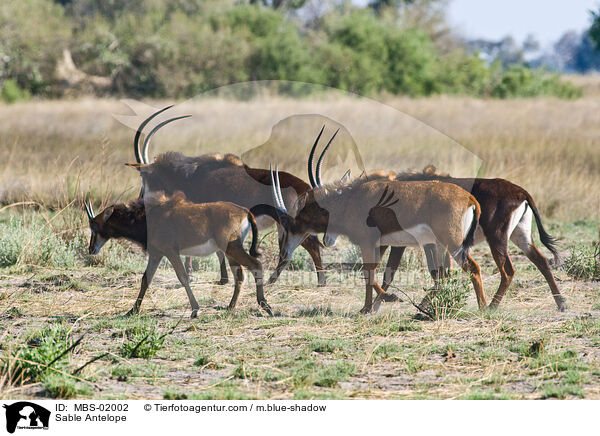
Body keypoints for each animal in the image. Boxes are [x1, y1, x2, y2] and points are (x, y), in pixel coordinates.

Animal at [84, 192, 272, 318]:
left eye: (94, 226)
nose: (91, 249)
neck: (146, 217)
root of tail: (245, 212)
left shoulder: (170, 252)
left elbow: (183, 277)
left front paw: (195, 310)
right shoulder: (156, 254)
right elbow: (146, 279)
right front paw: (132, 310)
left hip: (232, 248)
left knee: (256, 265)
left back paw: (265, 306)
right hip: (230, 251)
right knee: (240, 274)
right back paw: (231, 307)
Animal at [128, 105, 326, 286]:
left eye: (143, 177)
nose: (140, 198)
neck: (189, 176)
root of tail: (306, 188)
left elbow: (216, 250)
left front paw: (216, 278)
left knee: (308, 247)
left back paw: (307, 281)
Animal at [260, 131, 486, 316]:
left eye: (291, 223)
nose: (284, 253)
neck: (350, 201)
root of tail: (469, 199)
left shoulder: (369, 242)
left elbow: (368, 271)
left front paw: (379, 303)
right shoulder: (381, 243)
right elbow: (374, 272)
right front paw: (370, 307)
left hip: (451, 243)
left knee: (472, 268)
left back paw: (484, 308)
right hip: (439, 244)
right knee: (443, 274)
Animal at [380, 165, 568, 312]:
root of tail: (522, 192)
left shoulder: (418, 242)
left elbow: (395, 272)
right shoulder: (437, 243)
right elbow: (441, 273)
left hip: (496, 239)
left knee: (508, 271)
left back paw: (491, 306)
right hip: (521, 236)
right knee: (542, 261)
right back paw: (561, 304)